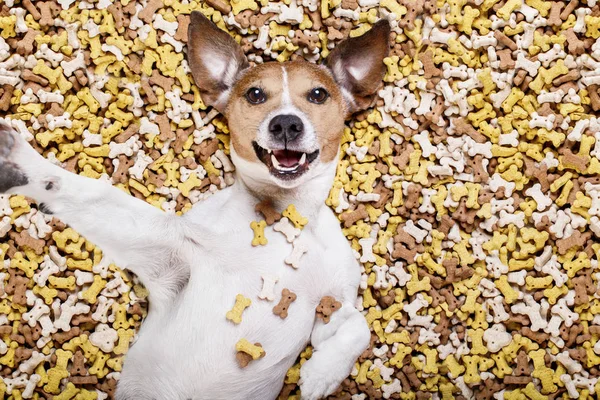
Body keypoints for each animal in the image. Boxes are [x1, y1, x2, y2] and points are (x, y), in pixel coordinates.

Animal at [0, 12, 392, 400]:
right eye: (255, 94)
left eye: (318, 94)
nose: (285, 124)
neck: (284, 215)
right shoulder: (168, 250)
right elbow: (84, 191)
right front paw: (23, 164)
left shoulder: (332, 302)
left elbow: (359, 325)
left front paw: (322, 374)